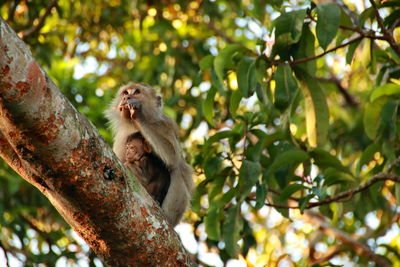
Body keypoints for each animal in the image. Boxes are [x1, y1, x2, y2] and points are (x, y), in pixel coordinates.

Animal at [105, 82, 195, 227]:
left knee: (177, 170)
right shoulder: (121, 138)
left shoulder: (166, 125)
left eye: (136, 92)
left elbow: (173, 156)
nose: (126, 98)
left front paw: (138, 114)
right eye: (125, 93)